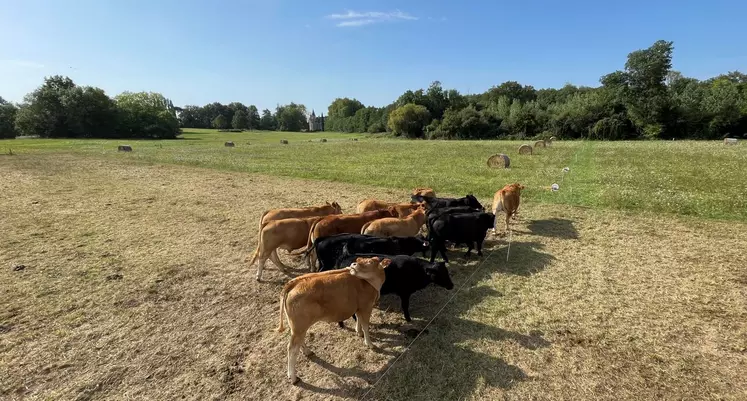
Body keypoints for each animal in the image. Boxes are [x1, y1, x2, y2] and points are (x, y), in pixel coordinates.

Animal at [276, 256, 392, 384]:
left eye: (370, 261)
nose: (353, 264)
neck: (368, 283)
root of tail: (294, 282)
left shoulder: (358, 307)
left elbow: (359, 320)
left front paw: (359, 332)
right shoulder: (366, 306)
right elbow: (366, 325)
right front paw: (369, 343)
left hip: (297, 328)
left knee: (299, 342)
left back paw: (307, 352)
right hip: (299, 326)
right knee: (292, 348)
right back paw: (293, 377)